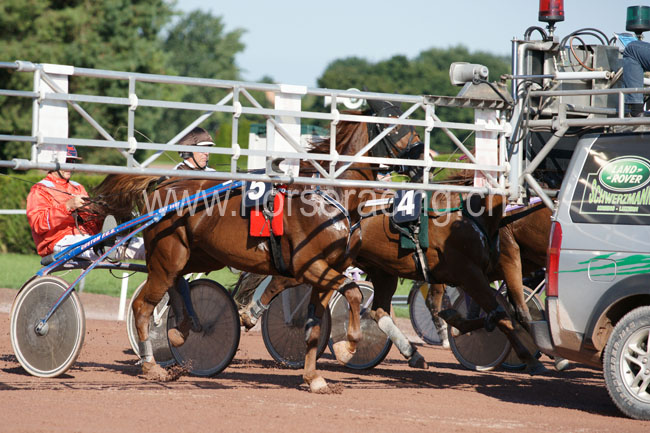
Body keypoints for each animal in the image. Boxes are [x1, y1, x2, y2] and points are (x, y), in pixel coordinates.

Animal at [92, 101, 424, 392]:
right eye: (397, 126)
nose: (423, 161)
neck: (328, 195)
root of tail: (163, 185)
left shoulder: (326, 271)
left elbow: (315, 327)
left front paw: (314, 378)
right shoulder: (311, 266)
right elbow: (354, 293)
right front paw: (348, 347)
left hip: (197, 256)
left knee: (176, 285)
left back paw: (181, 328)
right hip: (168, 256)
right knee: (143, 305)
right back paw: (152, 365)